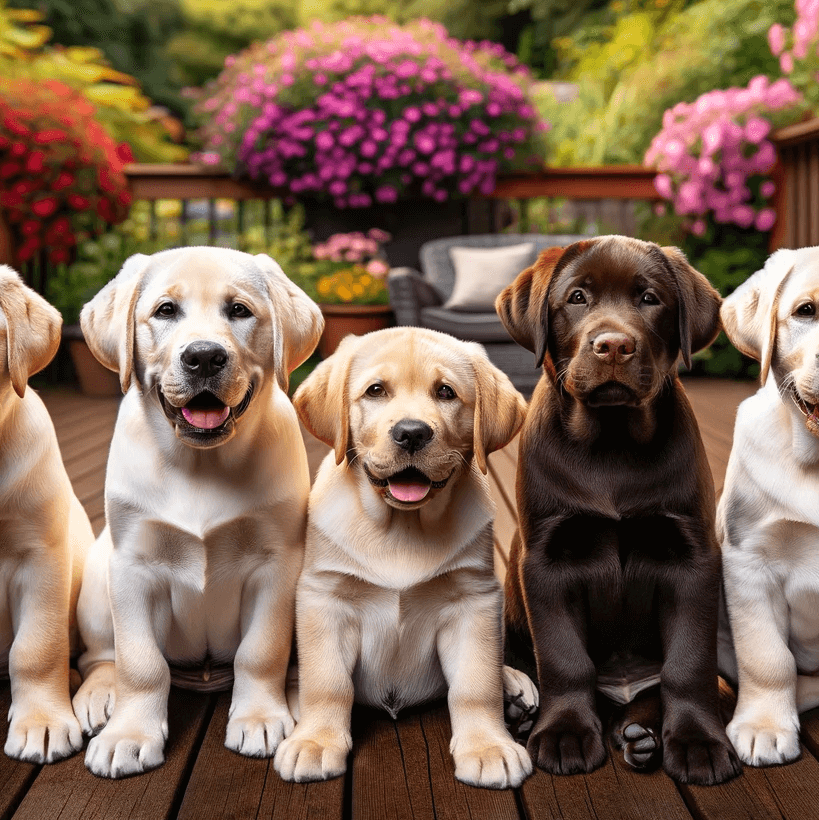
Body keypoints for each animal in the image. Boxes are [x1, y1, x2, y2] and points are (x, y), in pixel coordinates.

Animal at [73, 247, 324, 780]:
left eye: (240, 311)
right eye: (166, 310)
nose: (204, 356)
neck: (201, 464)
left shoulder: (276, 566)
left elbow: (260, 652)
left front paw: (258, 717)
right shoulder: (132, 566)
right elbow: (140, 663)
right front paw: (130, 735)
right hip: (98, 574)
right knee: (100, 656)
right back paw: (100, 695)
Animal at [272, 330, 536, 792]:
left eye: (446, 392)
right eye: (376, 391)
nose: (411, 433)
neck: (401, 526)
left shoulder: (474, 601)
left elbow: (475, 683)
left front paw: (487, 746)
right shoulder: (324, 598)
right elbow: (327, 682)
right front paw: (316, 741)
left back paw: (513, 685)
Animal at [494, 234, 744, 784]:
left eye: (650, 299)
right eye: (577, 298)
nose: (613, 345)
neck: (612, 443)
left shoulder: (692, 557)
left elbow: (688, 664)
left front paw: (697, 743)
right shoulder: (546, 560)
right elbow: (564, 657)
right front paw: (564, 732)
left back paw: (643, 733)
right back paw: (518, 705)